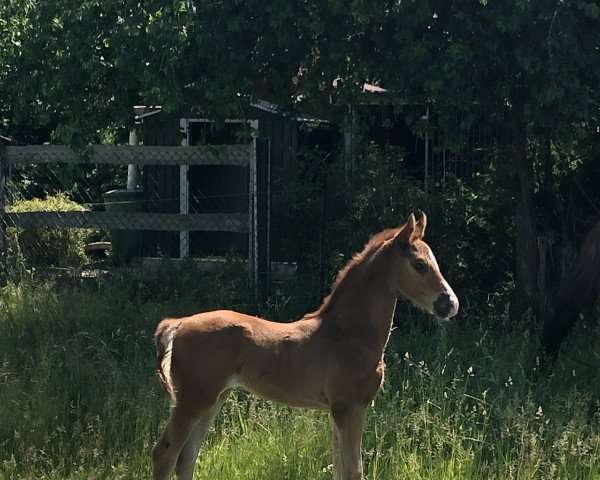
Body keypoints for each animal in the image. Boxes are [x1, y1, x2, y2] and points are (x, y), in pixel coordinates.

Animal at [151, 212, 460, 478]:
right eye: (419, 265)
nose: (450, 304)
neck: (348, 334)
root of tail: (178, 323)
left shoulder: (338, 410)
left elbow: (340, 468)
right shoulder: (350, 406)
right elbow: (353, 470)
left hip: (214, 398)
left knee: (187, 456)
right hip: (193, 400)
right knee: (165, 454)